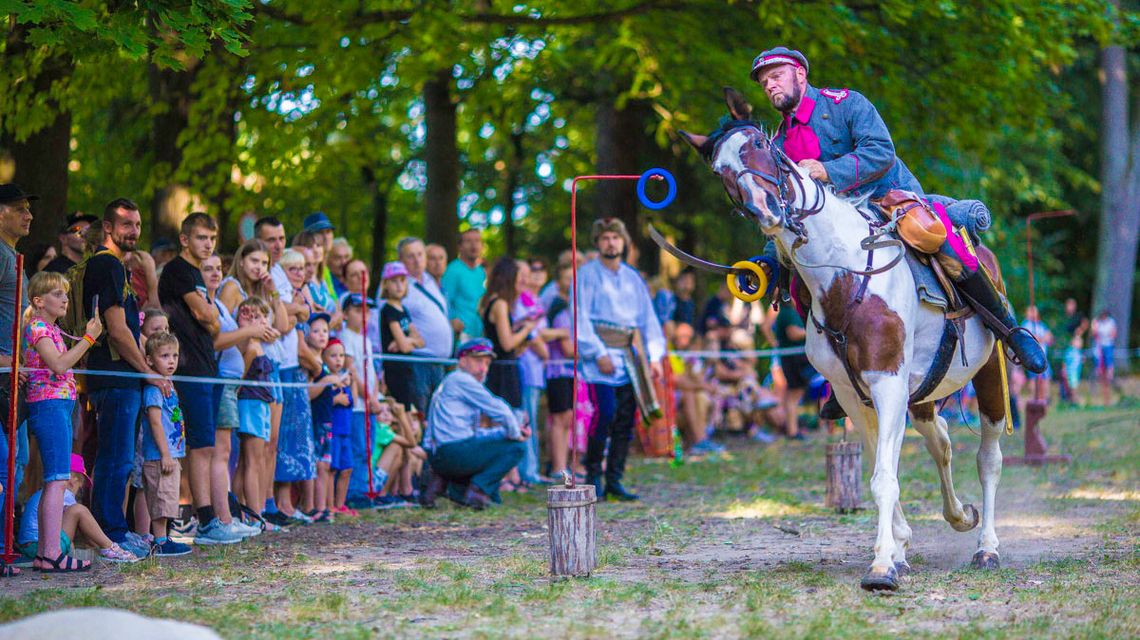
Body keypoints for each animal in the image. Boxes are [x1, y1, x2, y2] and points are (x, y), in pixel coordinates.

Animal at [674, 88, 1007, 588]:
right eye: (719, 169)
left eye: (759, 143)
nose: (765, 209)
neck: (844, 272)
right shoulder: (856, 395)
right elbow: (879, 470)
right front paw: (898, 549)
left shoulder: (887, 384)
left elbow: (884, 477)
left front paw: (883, 565)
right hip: (922, 395)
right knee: (942, 442)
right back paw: (959, 517)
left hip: (988, 377)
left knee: (988, 459)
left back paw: (986, 546)